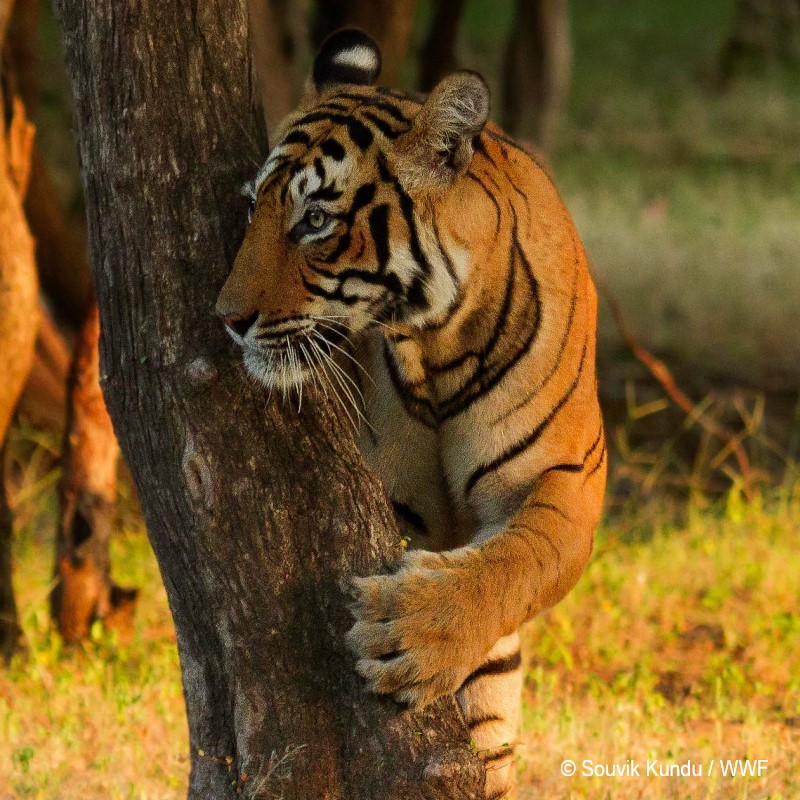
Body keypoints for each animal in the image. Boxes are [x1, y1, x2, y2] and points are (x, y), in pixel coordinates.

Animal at [216, 28, 604, 796]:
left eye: (314, 221)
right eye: (252, 211)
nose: (228, 320)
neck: (438, 342)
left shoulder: (570, 475)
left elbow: (520, 559)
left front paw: (412, 632)